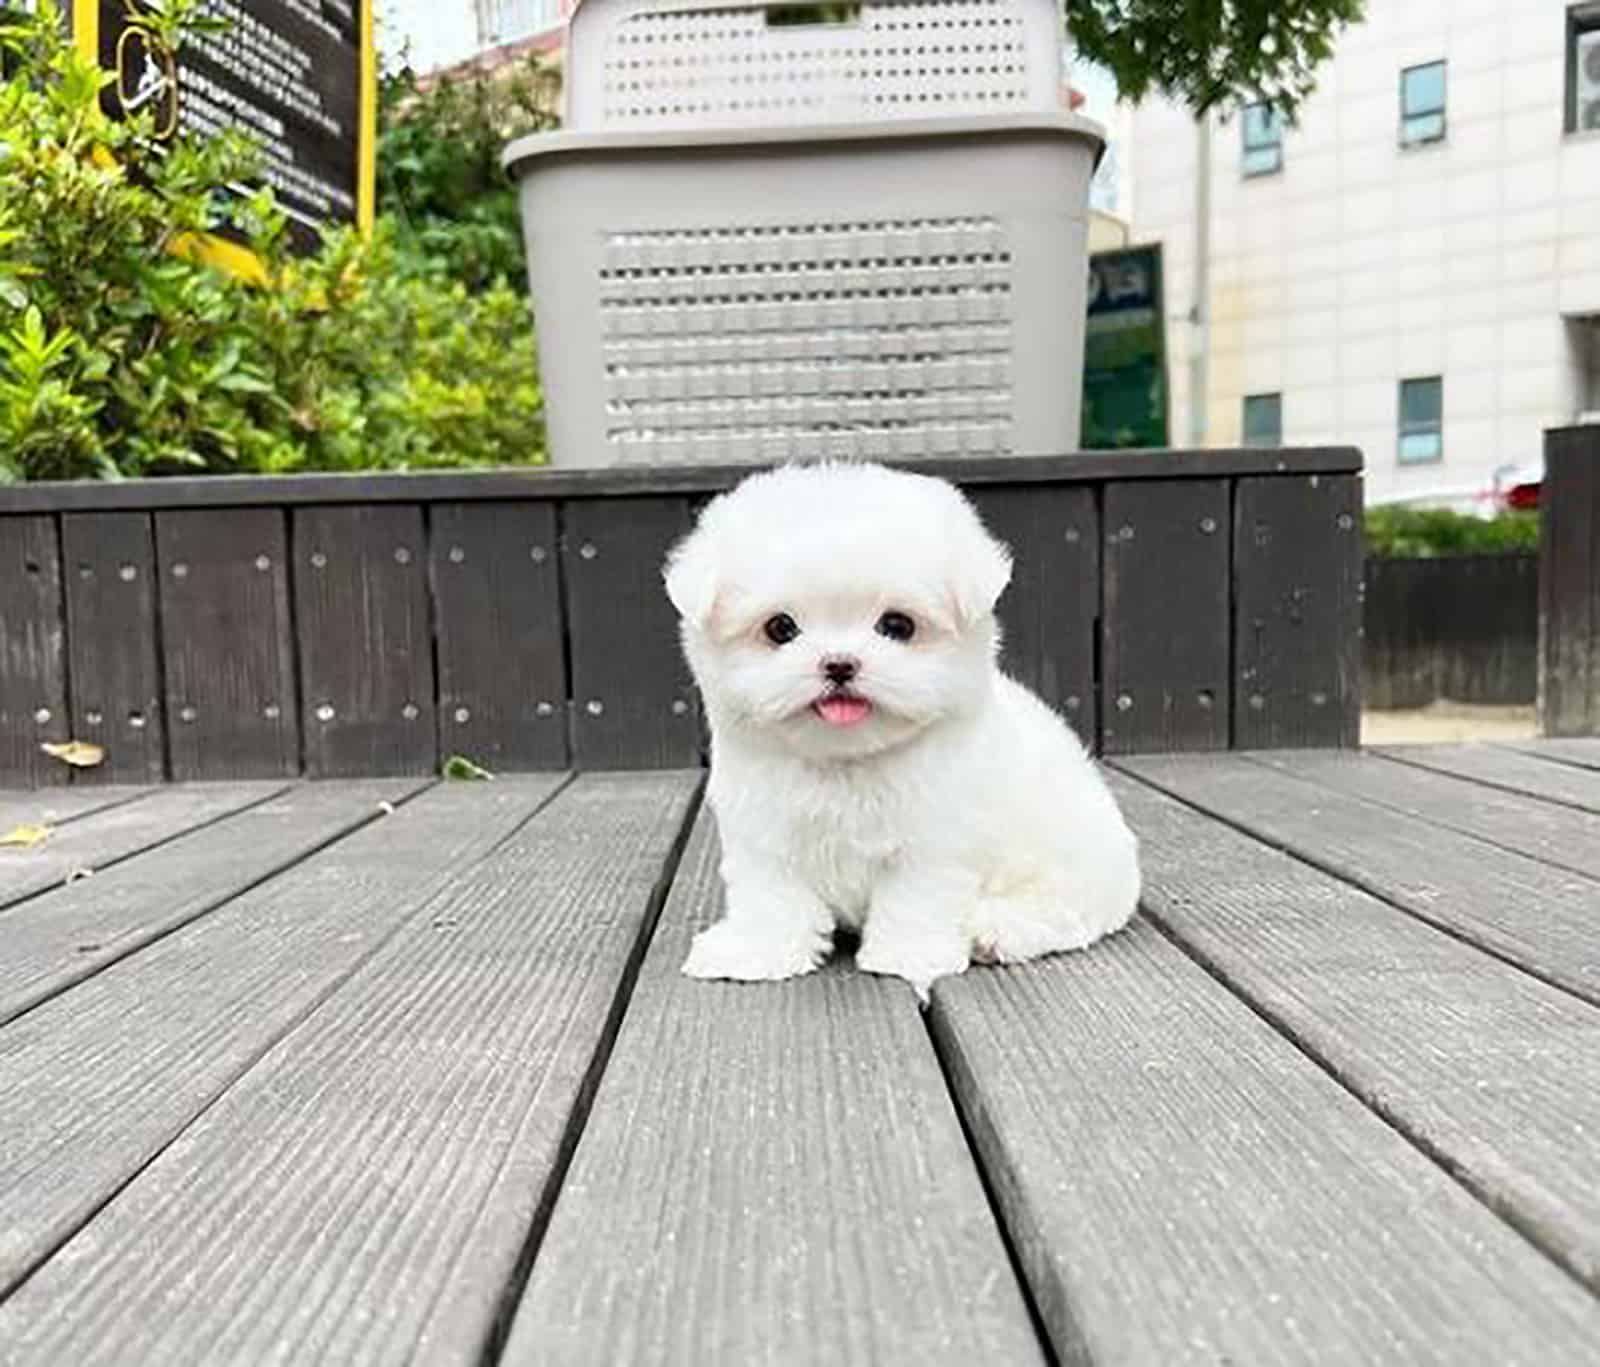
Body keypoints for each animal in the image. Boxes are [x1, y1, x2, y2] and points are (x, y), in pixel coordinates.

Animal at [662, 461, 1139, 992]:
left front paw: (908, 955)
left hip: (1074, 862)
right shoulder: (765, 837)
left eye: (897, 626)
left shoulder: (934, 843)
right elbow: (772, 897)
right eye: (780, 628)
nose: (839, 664)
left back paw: (994, 929)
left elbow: (916, 899)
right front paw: (756, 950)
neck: (844, 762)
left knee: (1064, 909)